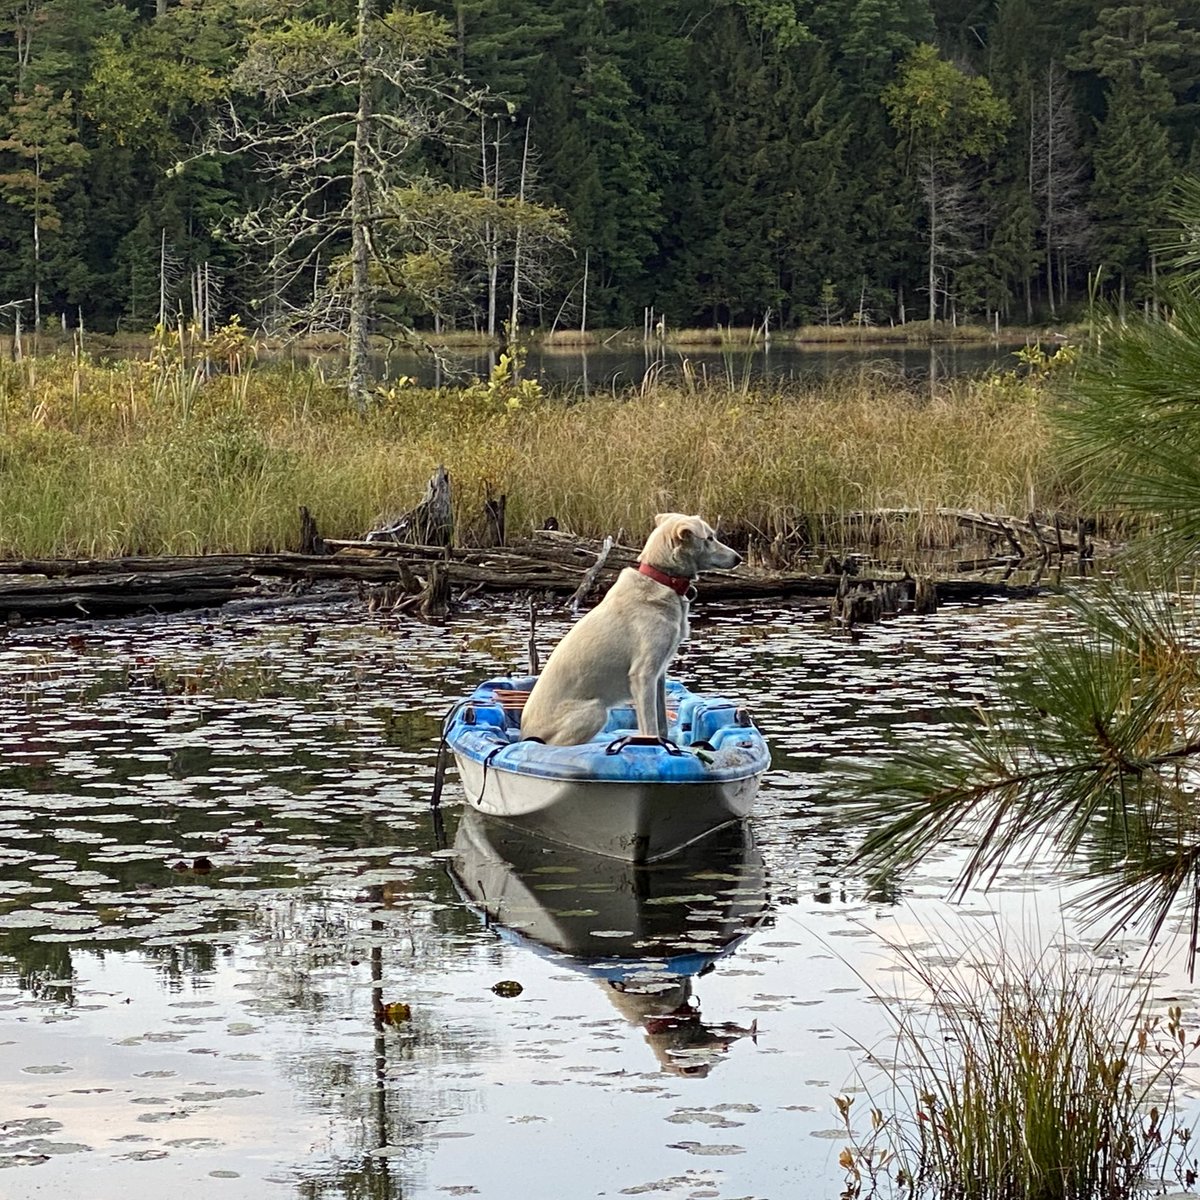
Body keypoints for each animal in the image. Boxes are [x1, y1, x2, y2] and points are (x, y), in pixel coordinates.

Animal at [523, 513, 739, 744]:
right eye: (709, 538)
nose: (738, 559)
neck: (662, 579)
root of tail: (524, 734)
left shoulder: (659, 674)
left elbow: (662, 723)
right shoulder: (643, 676)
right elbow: (650, 727)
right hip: (595, 711)